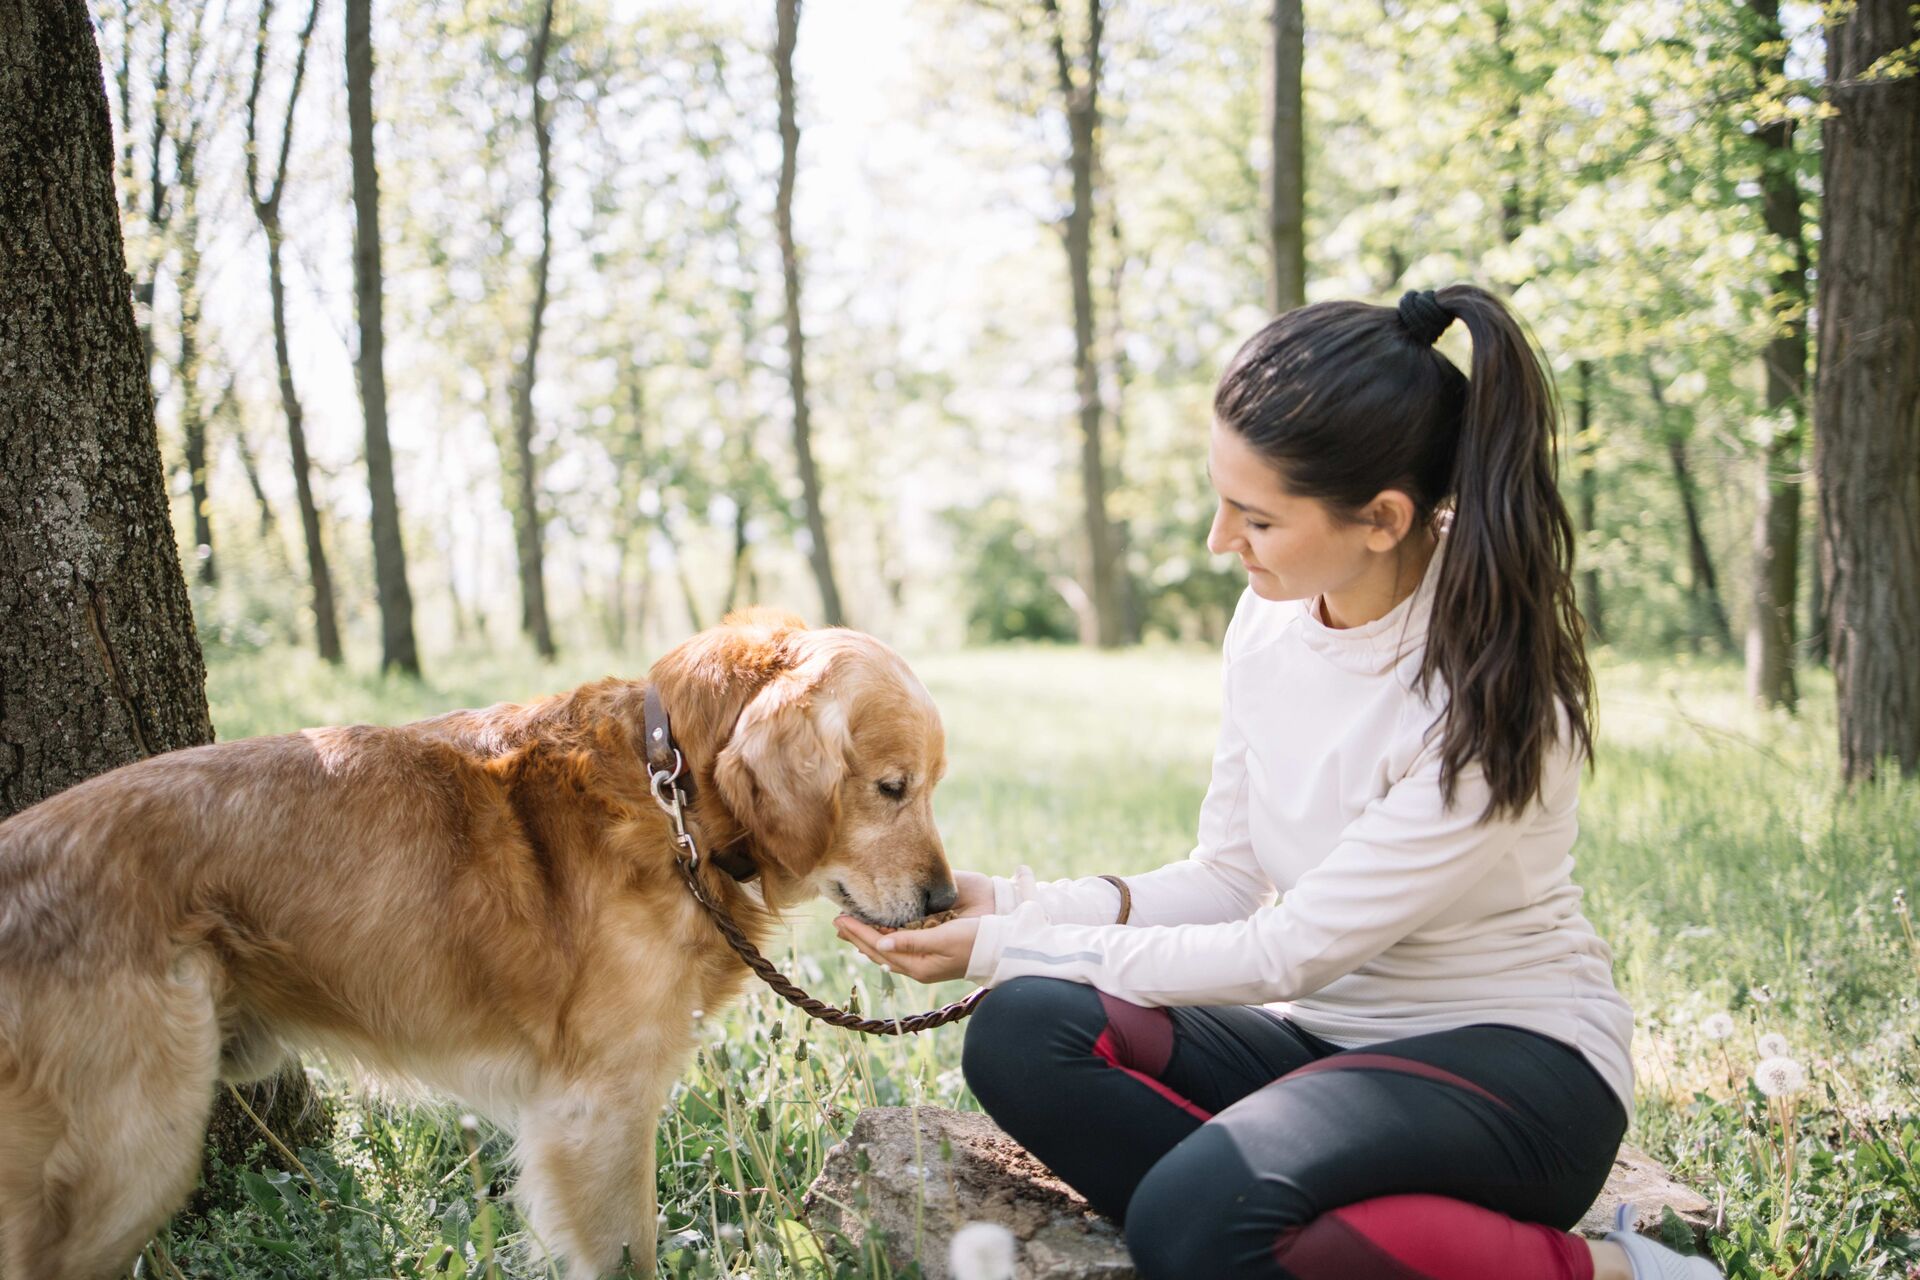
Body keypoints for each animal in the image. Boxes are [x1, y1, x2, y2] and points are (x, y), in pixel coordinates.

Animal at [0, 614, 956, 1280]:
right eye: (891, 788)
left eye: (929, 787)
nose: (946, 903)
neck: (672, 785)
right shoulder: (597, 1107)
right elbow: (629, 1253)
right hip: (133, 1156)